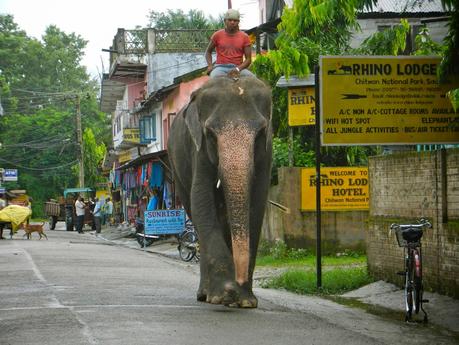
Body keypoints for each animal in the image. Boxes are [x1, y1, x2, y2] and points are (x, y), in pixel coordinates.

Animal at [169, 75, 274, 306]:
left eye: (260, 133)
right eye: (210, 134)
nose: (239, 279)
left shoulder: (266, 154)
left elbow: (258, 204)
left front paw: (245, 301)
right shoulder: (197, 150)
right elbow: (201, 199)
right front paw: (225, 294)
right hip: (176, 166)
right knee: (195, 212)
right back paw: (205, 295)